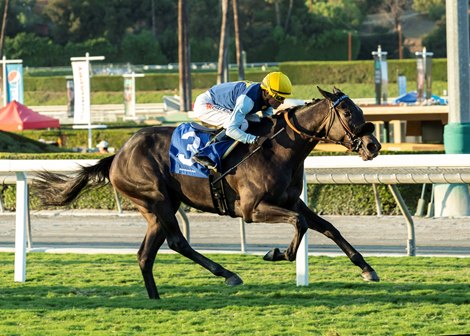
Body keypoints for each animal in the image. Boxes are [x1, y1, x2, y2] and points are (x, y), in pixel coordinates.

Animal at [35, 86, 382, 300]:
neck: (280, 148)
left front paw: (367, 269)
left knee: (146, 254)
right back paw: (227, 273)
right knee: (177, 242)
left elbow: (326, 226)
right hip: (157, 199)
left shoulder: (290, 200)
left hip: (156, 207)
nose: (373, 146)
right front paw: (277, 253)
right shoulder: (252, 209)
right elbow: (300, 223)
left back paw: (155, 297)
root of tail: (118, 154)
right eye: (348, 114)